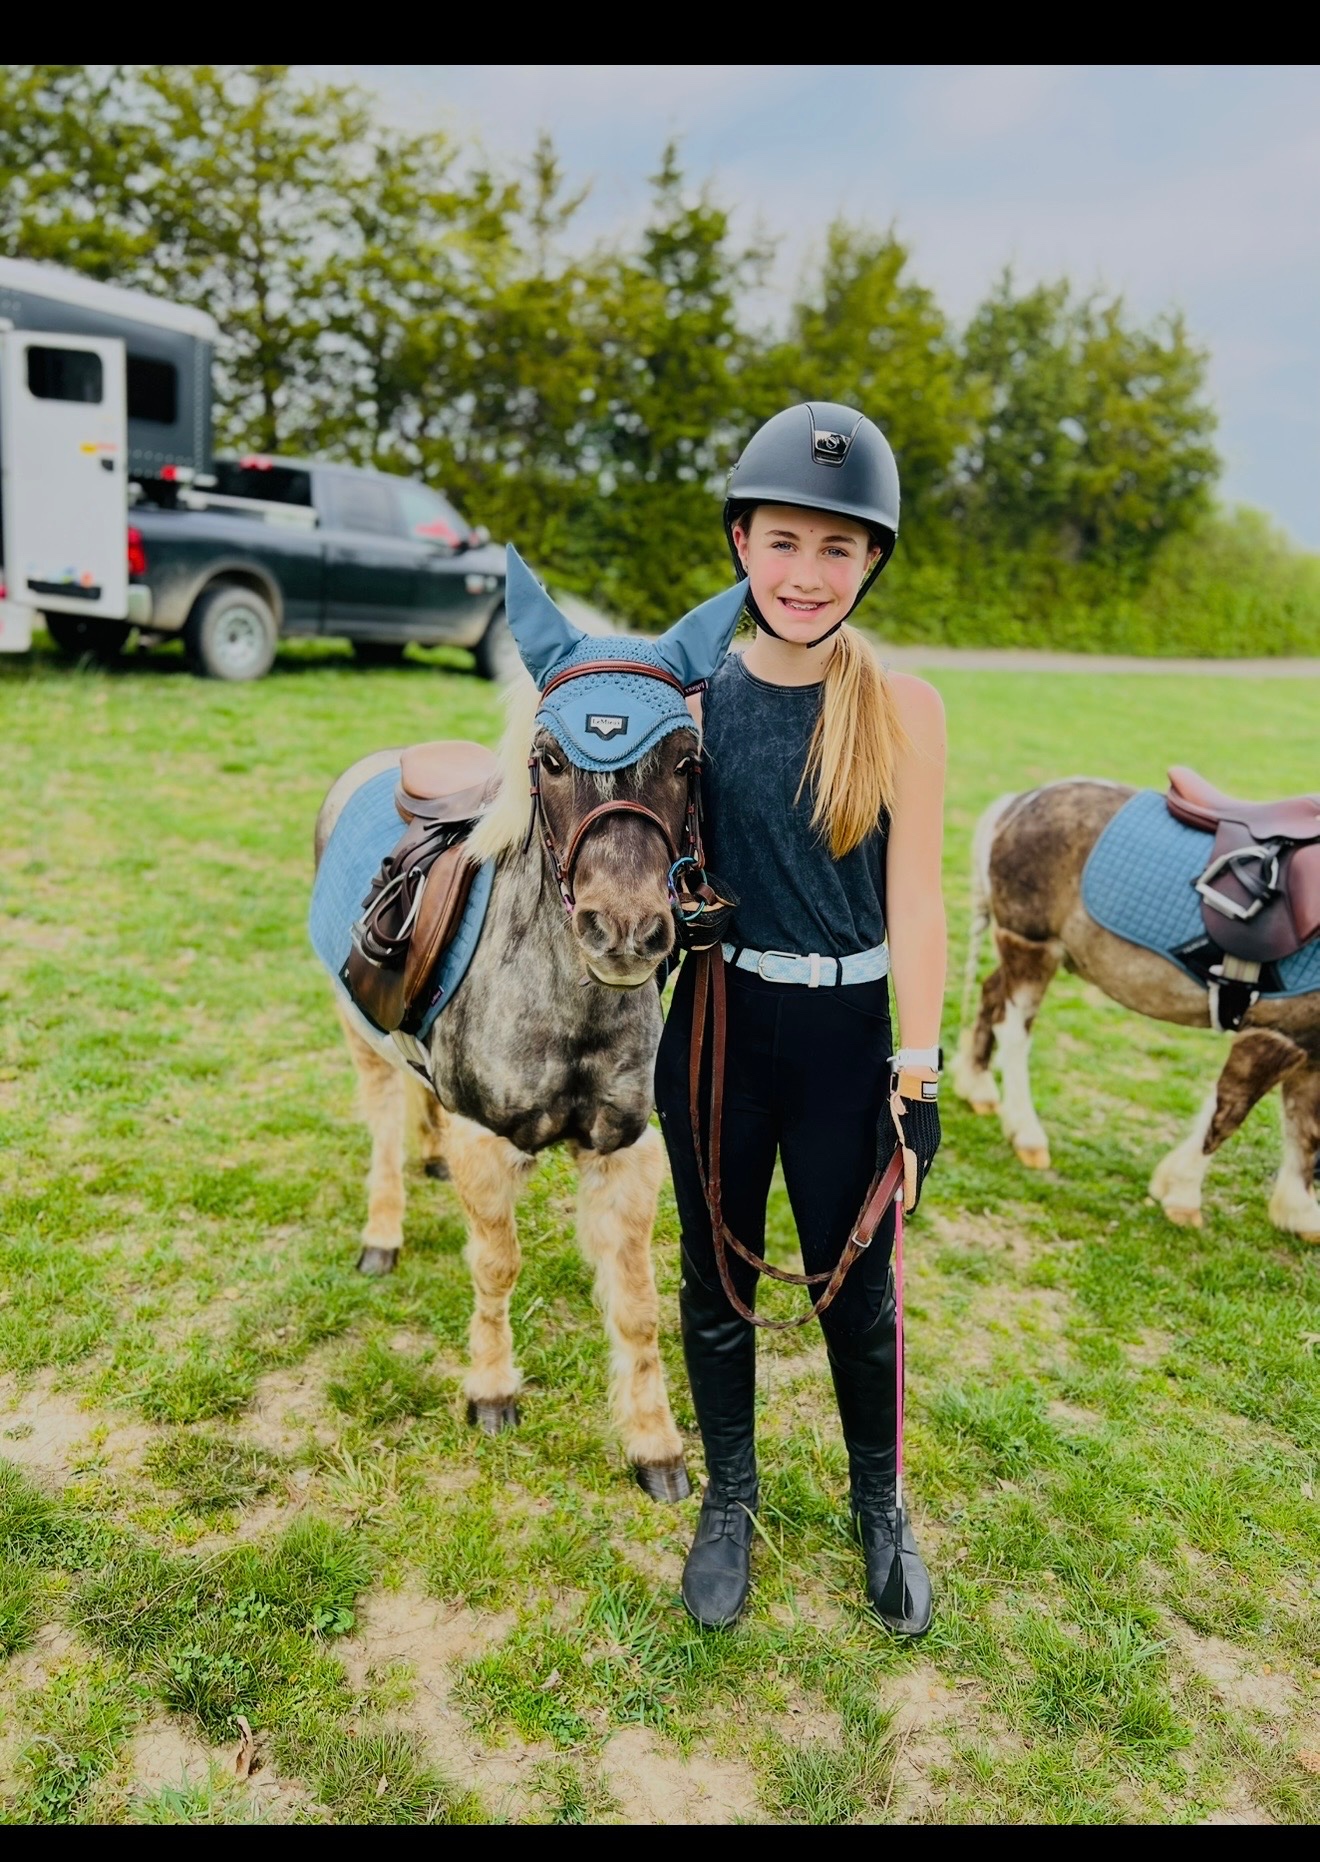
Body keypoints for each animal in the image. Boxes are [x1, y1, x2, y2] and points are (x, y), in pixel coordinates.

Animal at [312, 551, 746, 1498]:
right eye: (546, 758)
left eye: (688, 761)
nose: (625, 931)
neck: (567, 1005)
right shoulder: (491, 1138)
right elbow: (495, 1264)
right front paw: (491, 1391)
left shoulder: (624, 1152)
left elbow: (637, 1305)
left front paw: (655, 1447)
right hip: (359, 1033)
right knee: (385, 1122)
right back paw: (382, 1232)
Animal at [953, 780, 1320, 1241]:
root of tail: (1018, 803)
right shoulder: (1275, 1034)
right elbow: (1230, 1111)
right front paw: (1182, 1194)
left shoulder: (1310, 1045)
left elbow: (1305, 1125)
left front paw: (1300, 1211)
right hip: (1031, 948)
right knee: (1013, 1032)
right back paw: (1026, 1133)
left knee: (990, 995)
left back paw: (977, 1087)